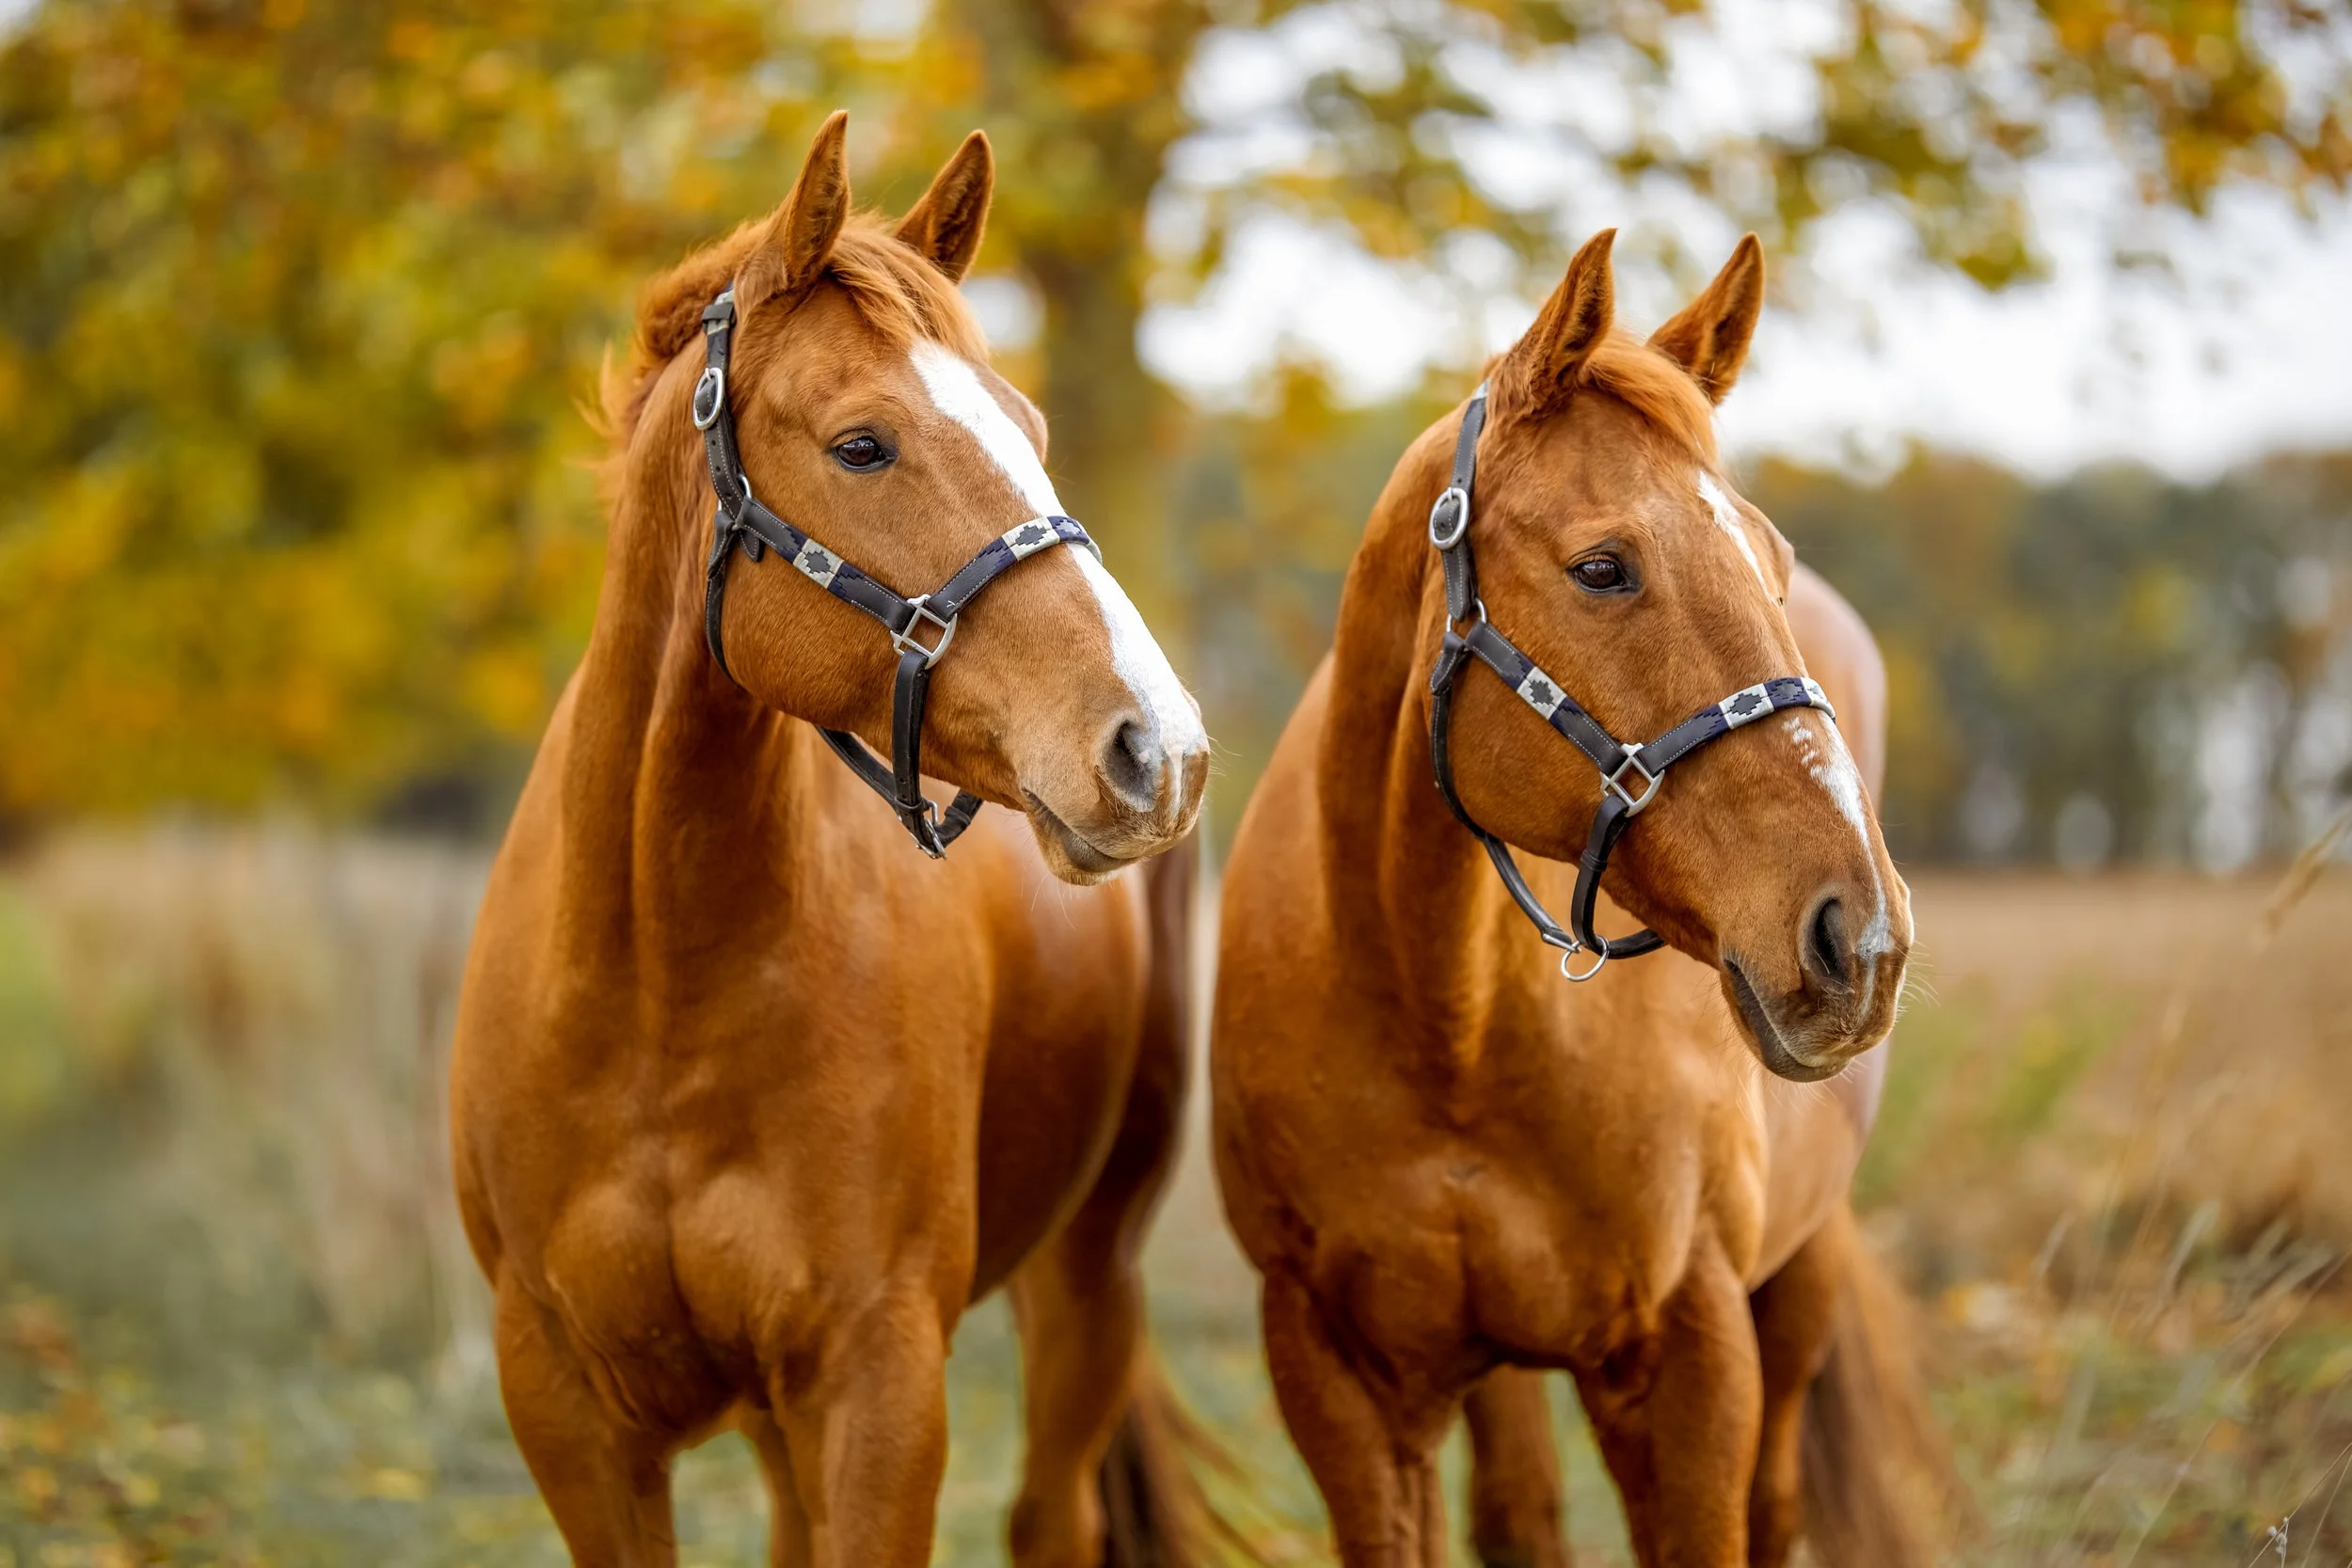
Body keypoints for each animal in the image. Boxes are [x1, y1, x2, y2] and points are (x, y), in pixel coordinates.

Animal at [450, 112, 1216, 1568]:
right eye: (864, 446)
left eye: (1032, 428)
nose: (1159, 747)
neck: (661, 995)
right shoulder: (570, 1412)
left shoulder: (879, 1388)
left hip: (1090, 1274)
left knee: (1054, 1510)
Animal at [1210, 228, 1946, 1567]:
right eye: (1603, 568)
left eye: (1773, 560)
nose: (1857, 936)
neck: (1443, 1019)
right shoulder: (1340, 1383)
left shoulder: (1694, 1361)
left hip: (1796, 1281)